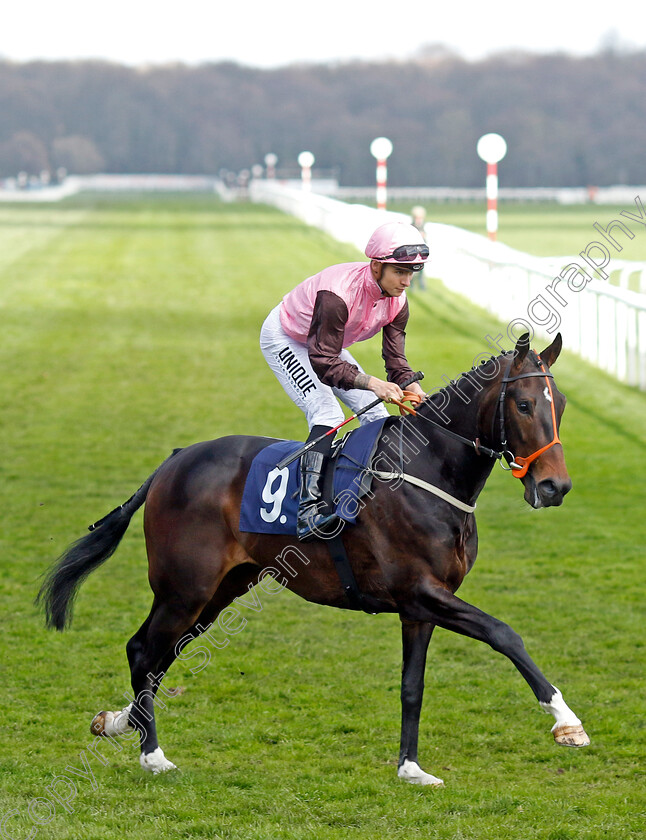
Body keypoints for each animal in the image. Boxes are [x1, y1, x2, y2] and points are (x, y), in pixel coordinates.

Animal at [36, 332, 592, 784]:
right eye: (524, 404)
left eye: (560, 404)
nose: (555, 487)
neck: (427, 473)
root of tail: (173, 460)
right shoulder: (420, 590)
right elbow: (505, 634)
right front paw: (567, 722)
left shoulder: (420, 607)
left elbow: (412, 686)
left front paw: (410, 768)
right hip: (184, 587)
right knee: (144, 651)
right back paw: (152, 755)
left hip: (221, 590)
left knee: (156, 653)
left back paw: (117, 722)